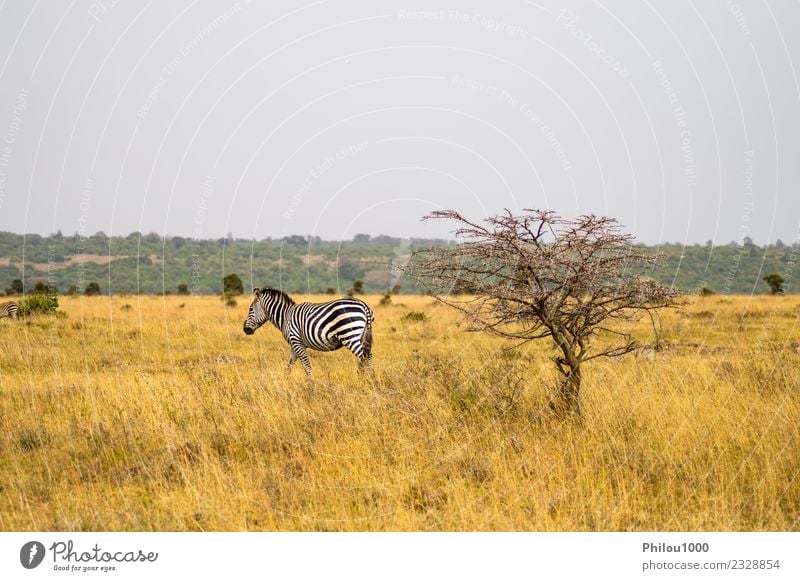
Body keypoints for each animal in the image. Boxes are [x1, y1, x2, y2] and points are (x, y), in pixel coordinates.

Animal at [244, 288, 376, 374]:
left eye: (250, 309)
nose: (245, 330)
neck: (286, 316)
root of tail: (364, 305)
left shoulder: (297, 342)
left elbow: (306, 365)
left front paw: (312, 385)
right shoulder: (294, 345)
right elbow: (288, 365)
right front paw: (285, 382)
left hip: (349, 335)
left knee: (364, 356)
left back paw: (368, 380)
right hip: (362, 336)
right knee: (368, 356)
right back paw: (370, 379)